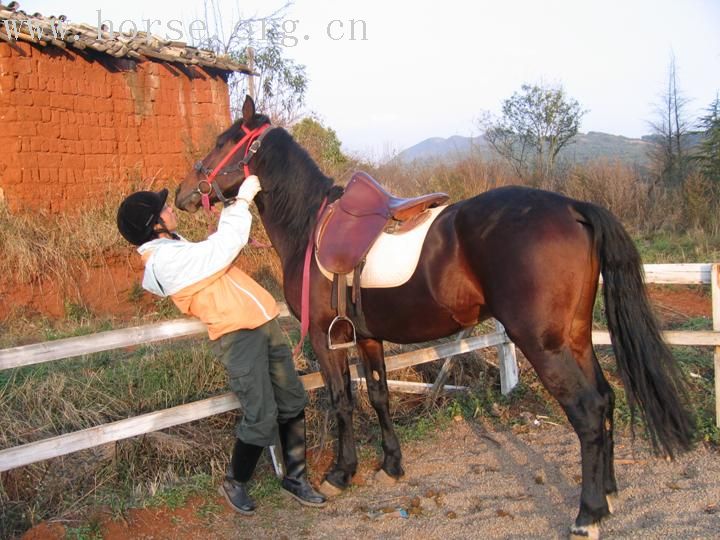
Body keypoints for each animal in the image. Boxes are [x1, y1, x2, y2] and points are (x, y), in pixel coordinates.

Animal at [173, 98, 692, 540]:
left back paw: (587, 515)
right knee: (605, 400)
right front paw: (391, 465)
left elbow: (342, 402)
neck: (309, 227)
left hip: (545, 345)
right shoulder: (368, 338)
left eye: (222, 141)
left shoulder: (325, 340)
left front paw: (341, 473)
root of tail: (574, 207)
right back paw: (608, 494)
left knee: (587, 411)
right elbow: (379, 396)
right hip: (576, 337)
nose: (182, 192)